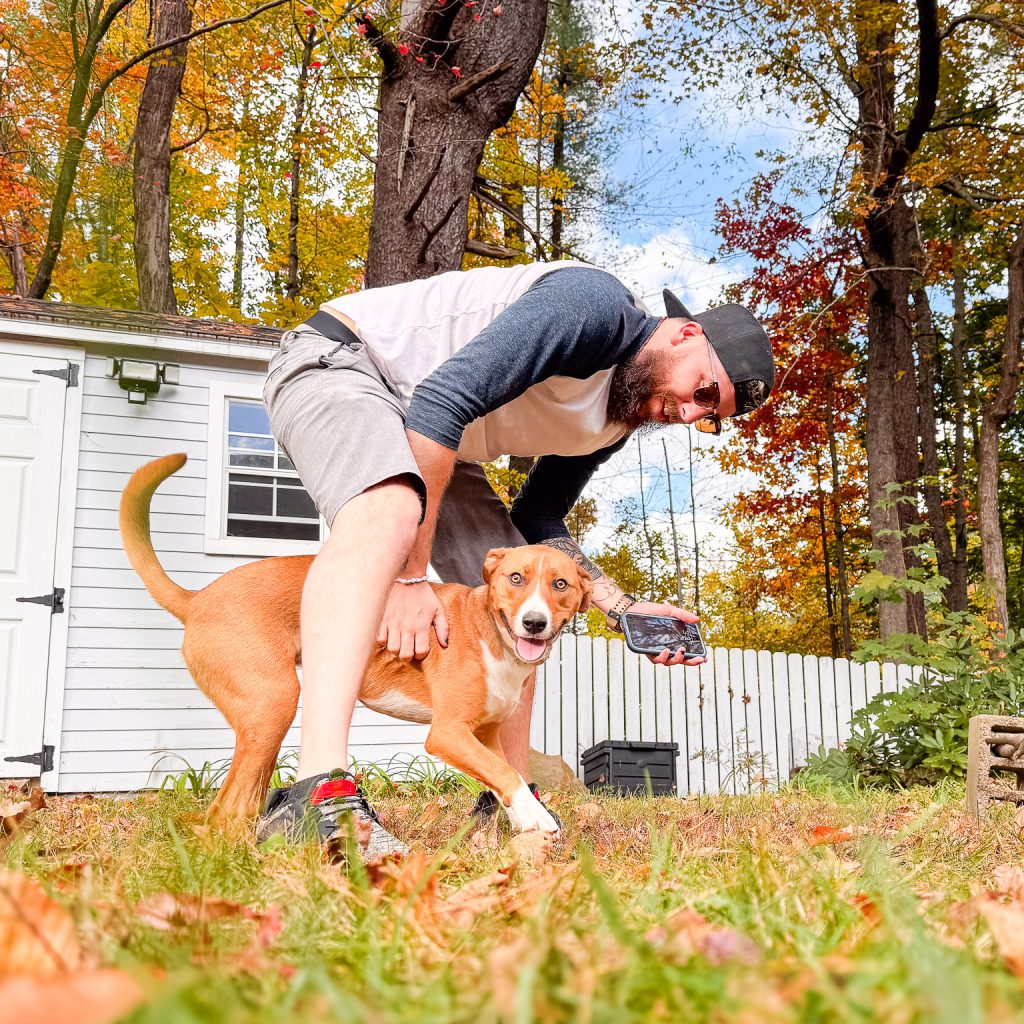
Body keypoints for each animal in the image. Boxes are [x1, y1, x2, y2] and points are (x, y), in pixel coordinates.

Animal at [117, 454, 593, 831]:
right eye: (515, 578)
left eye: (561, 585)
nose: (534, 623)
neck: (488, 631)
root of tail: (196, 599)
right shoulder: (448, 733)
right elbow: (504, 773)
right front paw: (536, 820)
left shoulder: (485, 735)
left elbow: (505, 772)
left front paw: (526, 819)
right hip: (273, 703)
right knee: (226, 808)